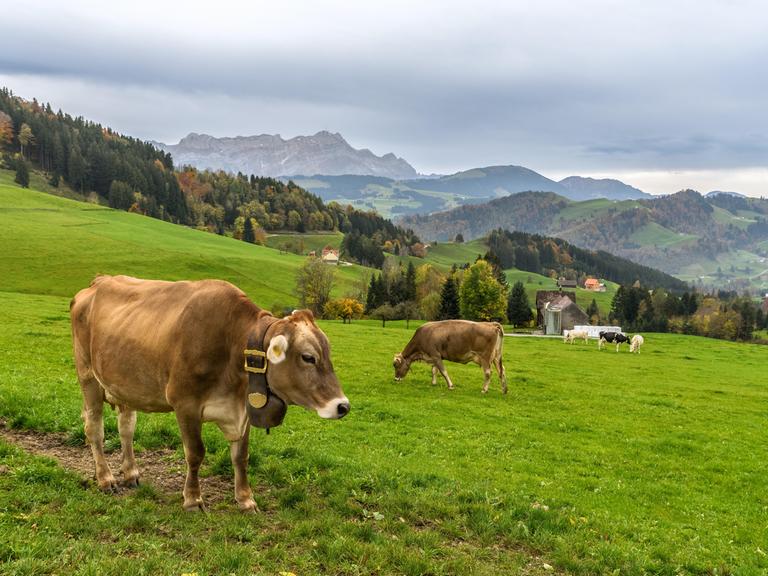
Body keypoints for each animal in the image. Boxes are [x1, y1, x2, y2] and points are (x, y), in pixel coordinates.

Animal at [70, 275, 349, 512]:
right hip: (88, 377)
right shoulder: (185, 404)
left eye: (328, 354)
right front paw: (193, 499)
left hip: (124, 384)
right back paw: (105, 479)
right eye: (308, 357)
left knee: (126, 427)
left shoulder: (244, 409)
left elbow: (241, 457)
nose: (342, 406)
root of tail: (98, 281)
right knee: (94, 429)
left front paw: (245, 500)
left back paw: (131, 473)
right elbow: (195, 454)